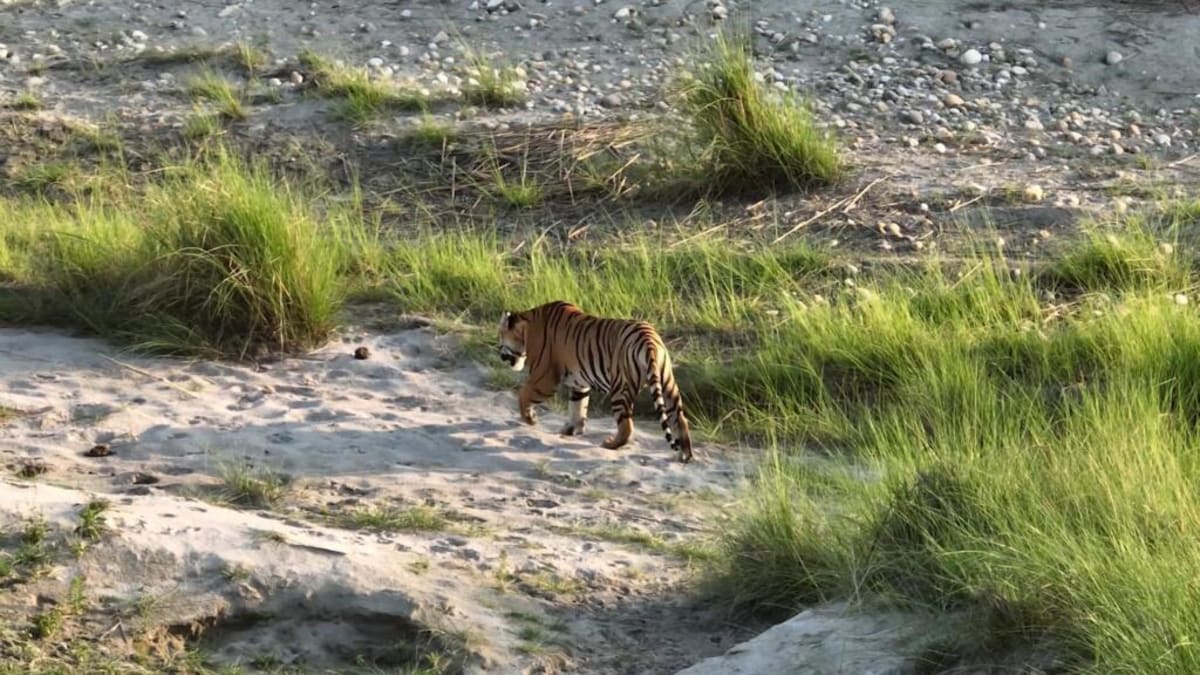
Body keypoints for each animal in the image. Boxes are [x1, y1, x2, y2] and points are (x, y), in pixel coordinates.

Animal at [497, 300, 694, 464]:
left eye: (500, 336)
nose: (499, 353)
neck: (528, 327)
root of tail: (649, 339)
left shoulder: (544, 378)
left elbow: (523, 395)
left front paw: (530, 419)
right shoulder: (579, 384)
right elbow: (577, 408)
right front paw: (569, 430)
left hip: (620, 389)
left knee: (626, 427)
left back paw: (609, 444)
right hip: (667, 383)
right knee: (680, 419)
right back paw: (684, 455)